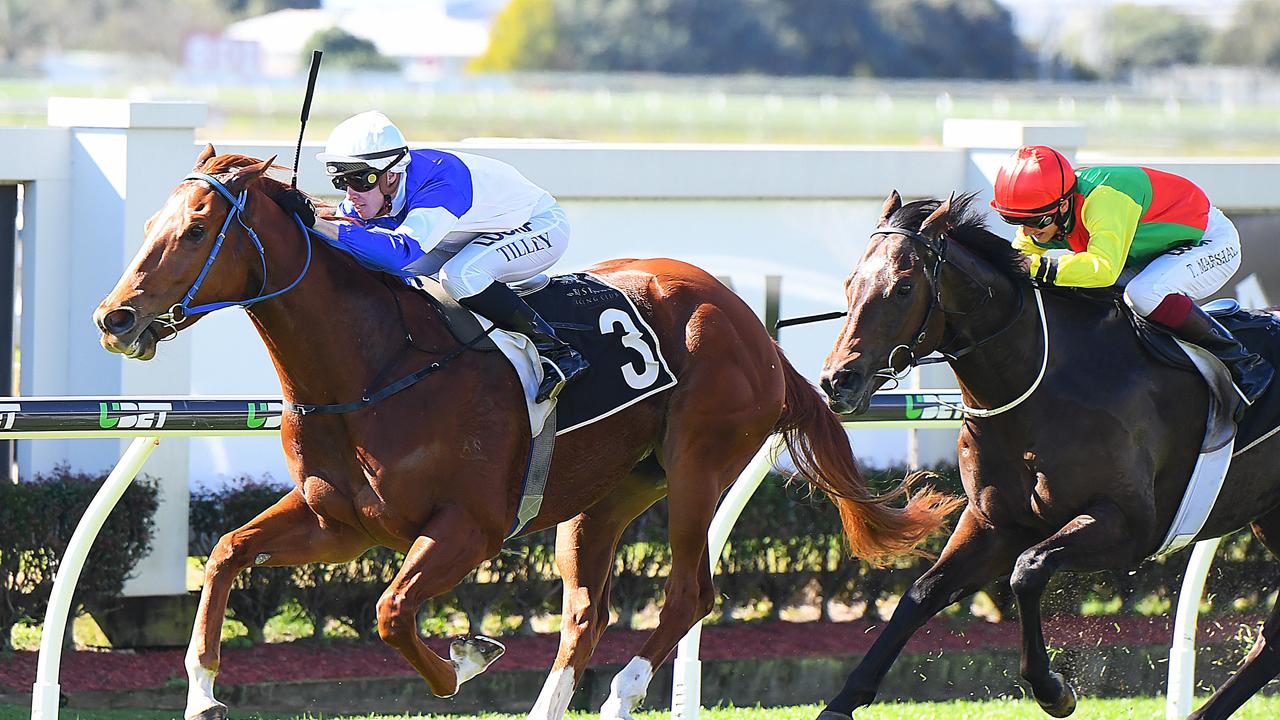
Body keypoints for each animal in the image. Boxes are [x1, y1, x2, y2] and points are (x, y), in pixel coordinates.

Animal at [94, 147, 957, 717]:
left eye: (197, 229)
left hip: (699, 469)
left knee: (689, 591)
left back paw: (624, 693)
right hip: (608, 494)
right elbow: (226, 554)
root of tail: (754, 326)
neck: (376, 365)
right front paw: (202, 690)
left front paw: (466, 662)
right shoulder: (340, 521)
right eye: (153, 221)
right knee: (586, 612)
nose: (116, 317)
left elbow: (393, 611)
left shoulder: (468, 528)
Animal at [814, 190, 1280, 717]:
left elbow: (1028, 571)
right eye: (850, 282)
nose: (837, 380)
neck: (1041, 383)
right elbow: (920, 594)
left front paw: (1053, 688)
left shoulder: (1130, 526)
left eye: (904, 287)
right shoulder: (993, 522)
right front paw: (842, 701)